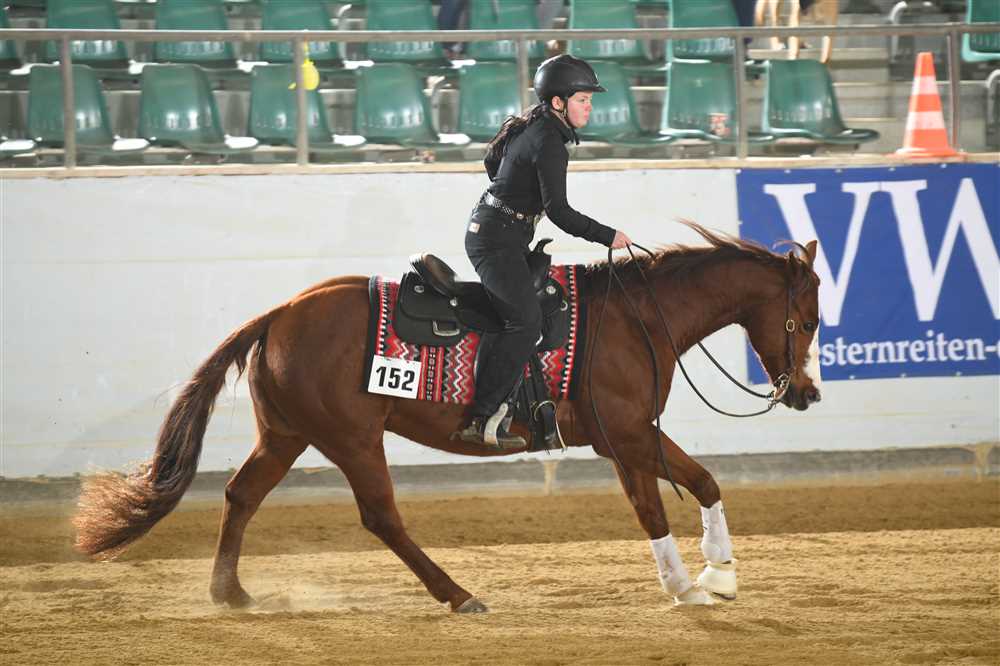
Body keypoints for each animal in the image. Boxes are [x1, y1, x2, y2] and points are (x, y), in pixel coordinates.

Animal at [73, 223, 822, 612]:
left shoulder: (621, 439)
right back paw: (458, 593)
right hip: (351, 437)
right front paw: (719, 574)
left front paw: (683, 586)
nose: (806, 394)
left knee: (240, 495)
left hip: (286, 435)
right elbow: (703, 483)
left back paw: (229, 592)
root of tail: (280, 313)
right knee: (381, 517)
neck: (633, 317)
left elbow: (652, 510)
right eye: (809, 317)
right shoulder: (634, 433)